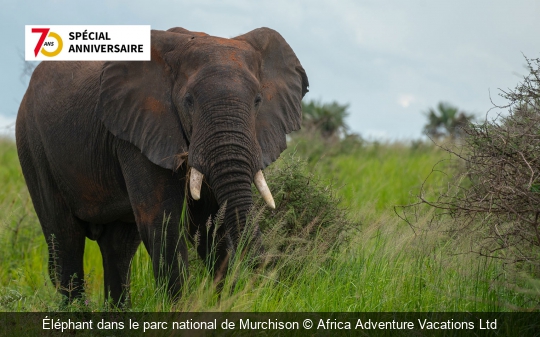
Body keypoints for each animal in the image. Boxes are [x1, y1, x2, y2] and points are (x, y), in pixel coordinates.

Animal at [15, 26, 308, 304]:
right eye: (188, 101)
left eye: (258, 100)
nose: (268, 284)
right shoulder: (138, 134)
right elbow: (163, 222)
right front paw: (179, 310)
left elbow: (211, 227)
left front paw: (221, 303)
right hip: (32, 144)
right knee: (65, 239)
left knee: (118, 247)